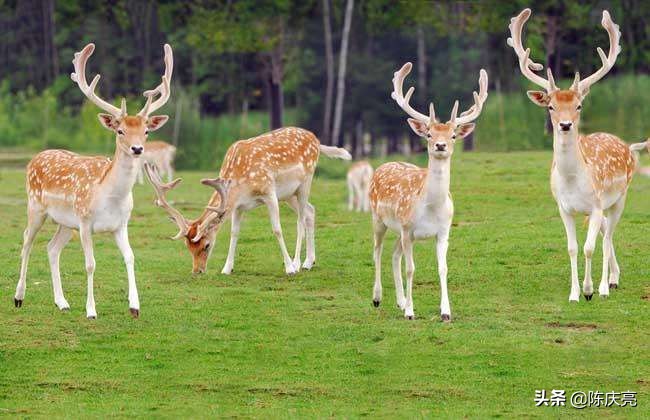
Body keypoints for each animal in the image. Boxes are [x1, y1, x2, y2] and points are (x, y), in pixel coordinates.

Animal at [15, 42, 172, 318]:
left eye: (146, 131)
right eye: (120, 130)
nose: (137, 149)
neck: (110, 197)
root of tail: (35, 157)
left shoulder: (121, 224)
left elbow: (130, 257)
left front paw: (134, 306)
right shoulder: (85, 221)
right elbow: (90, 264)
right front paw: (91, 310)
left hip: (65, 222)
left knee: (51, 248)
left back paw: (62, 302)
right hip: (36, 207)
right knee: (26, 241)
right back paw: (19, 297)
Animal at [145, 128, 352, 276]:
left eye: (206, 245)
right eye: (188, 247)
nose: (197, 271)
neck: (240, 182)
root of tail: (316, 140)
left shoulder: (269, 193)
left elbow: (277, 229)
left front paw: (289, 268)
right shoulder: (238, 205)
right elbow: (234, 233)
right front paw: (227, 268)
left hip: (305, 183)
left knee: (300, 219)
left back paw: (297, 263)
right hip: (288, 194)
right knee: (310, 211)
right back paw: (309, 261)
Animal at [370, 62, 486, 322]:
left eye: (453, 135)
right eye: (429, 134)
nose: (440, 145)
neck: (431, 208)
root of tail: (382, 165)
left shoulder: (443, 232)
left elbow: (442, 268)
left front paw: (445, 312)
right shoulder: (408, 229)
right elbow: (411, 269)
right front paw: (411, 312)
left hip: (399, 231)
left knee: (394, 255)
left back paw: (400, 301)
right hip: (379, 219)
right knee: (377, 252)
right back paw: (378, 298)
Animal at [508, 8, 644, 300]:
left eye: (579, 105)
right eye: (550, 106)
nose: (565, 124)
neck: (573, 182)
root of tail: (628, 147)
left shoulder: (596, 205)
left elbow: (590, 248)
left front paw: (590, 290)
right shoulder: (564, 208)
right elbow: (572, 248)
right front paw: (574, 293)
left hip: (619, 197)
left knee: (607, 237)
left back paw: (607, 285)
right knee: (605, 234)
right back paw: (614, 278)